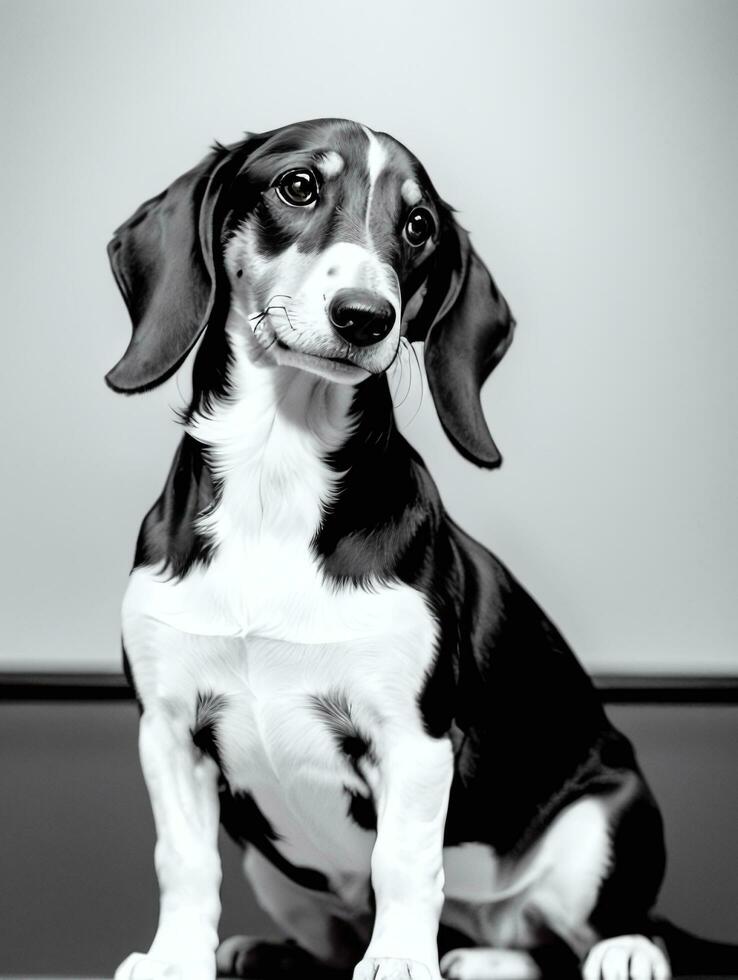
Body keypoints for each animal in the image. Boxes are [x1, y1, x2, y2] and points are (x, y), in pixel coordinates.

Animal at [106, 120, 732, 980]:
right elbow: (185, 862)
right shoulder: (168, 730)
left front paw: (401, 961)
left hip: (602, 821)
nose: (365, 316)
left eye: (418, 226)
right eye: (297, 186)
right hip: (278, 875)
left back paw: (616, 952)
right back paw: (285, 953)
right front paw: (175, 958)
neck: (277, 475)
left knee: (584, 933)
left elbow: (403, 864)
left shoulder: (414, 738)